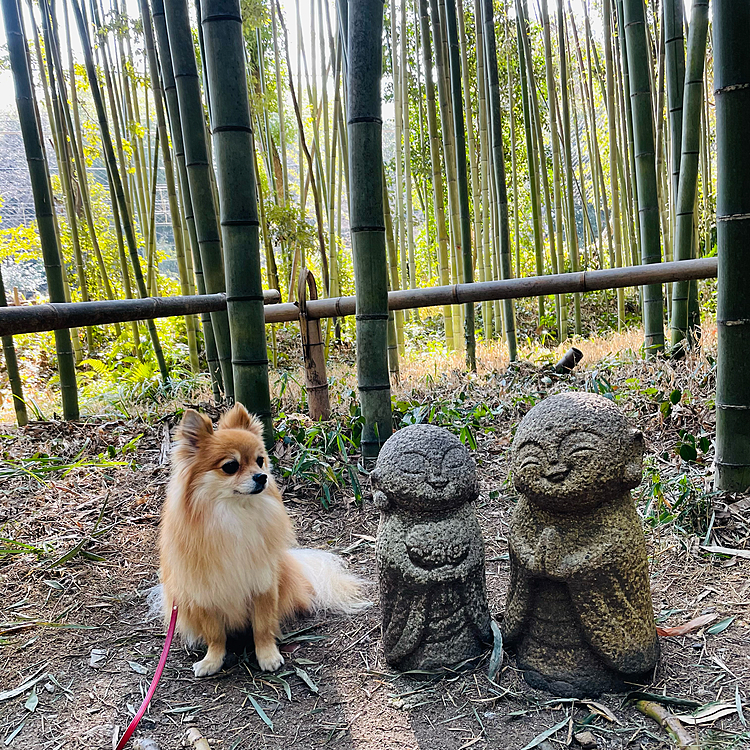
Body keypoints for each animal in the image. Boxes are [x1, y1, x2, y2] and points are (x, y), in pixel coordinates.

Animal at [159, 408, 370, 680]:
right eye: (231, 466)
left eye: (260, 461)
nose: (262, 477)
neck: (235, 514)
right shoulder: (205, 591)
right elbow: (215, 634)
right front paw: (212, 660)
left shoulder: (263, 583)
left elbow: (262, 626)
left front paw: (268, 655)